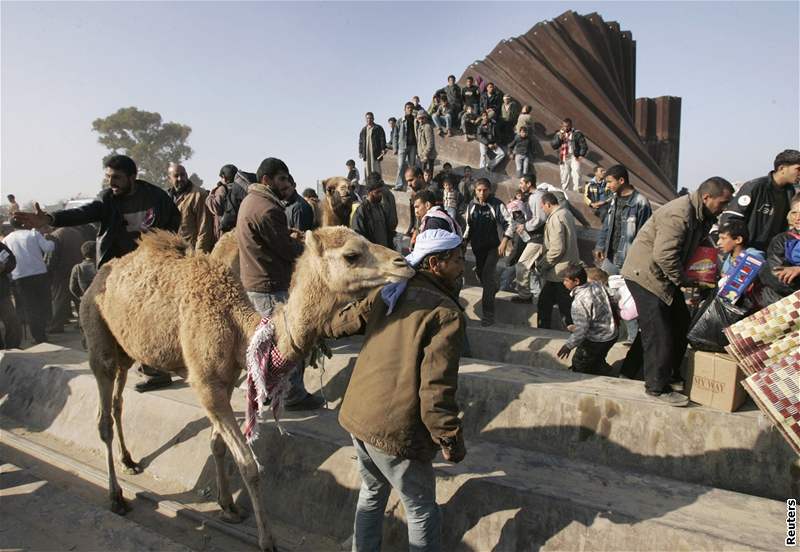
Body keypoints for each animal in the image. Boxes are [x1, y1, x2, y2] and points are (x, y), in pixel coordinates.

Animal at [81, 226, 412, 548]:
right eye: (351, 255)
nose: (403, 264)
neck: (238, 327)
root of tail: (100, 274)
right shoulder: (205, 383)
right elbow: (249, 464)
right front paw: (267, 540)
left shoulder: (226, 379)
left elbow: (217, 444)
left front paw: (227, 505)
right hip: (98, 339)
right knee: (102, 417)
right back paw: (116, 496)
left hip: (124, 351)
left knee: (117, 404)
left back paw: (129, 461)